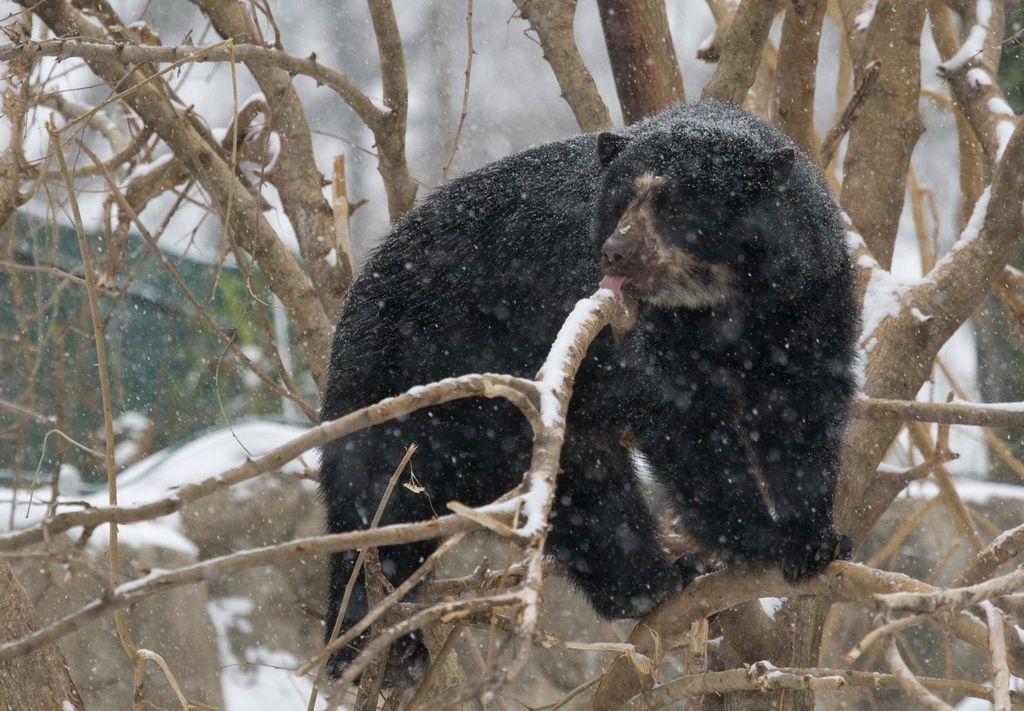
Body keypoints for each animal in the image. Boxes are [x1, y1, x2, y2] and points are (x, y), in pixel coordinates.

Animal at [317, 100, 856, 684]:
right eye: (621, 201)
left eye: (678, 207)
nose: (616, 253)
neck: (722, 306)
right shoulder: (632, 332)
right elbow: (684, 424)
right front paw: (757, 539)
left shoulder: (810, 301)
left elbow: (802, 407)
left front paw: (817, 539)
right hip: (454, 396)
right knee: (569, 493)